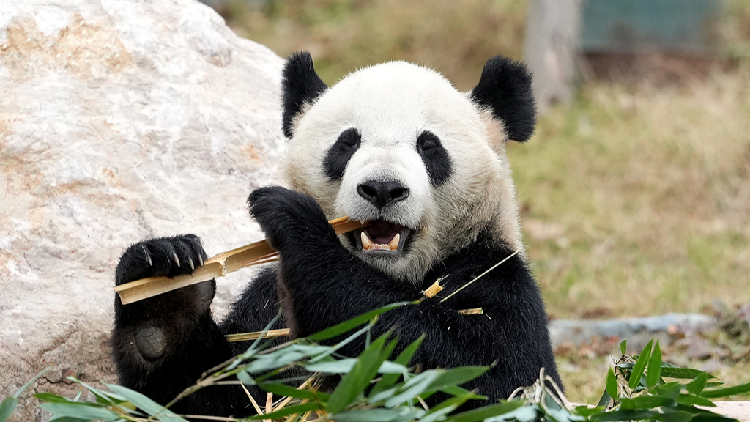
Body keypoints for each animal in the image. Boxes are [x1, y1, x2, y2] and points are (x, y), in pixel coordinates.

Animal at [112, 52, 562, 417]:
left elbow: (482, 374)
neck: (391, 273)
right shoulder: (267, 306)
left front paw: (296, 222)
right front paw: (163, 292)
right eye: (346, 143)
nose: (382, 188)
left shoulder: (492, 274)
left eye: (429, 146)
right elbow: (215, 398)